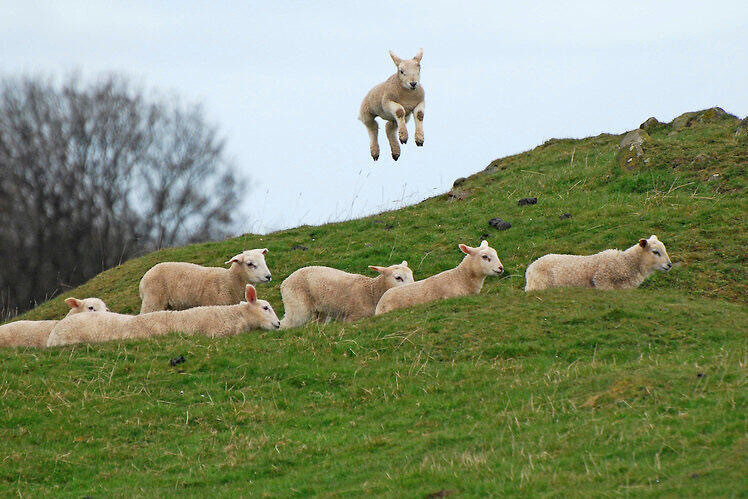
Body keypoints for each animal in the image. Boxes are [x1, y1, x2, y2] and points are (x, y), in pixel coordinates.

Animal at [138, 249, 272, 314]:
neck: (230, 281)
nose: (268, 276)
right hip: (153, 300)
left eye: (264, 260)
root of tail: (143, 280)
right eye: (250, 264)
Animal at [280, 260, 412, 330]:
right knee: (286, 324)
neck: (371, 293)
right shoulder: (351, 317)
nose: (412, 288)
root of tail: (284, 282)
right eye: (398, 278)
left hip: (321, 312)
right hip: (297, 306)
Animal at [524, 235, 676, 292]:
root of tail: (530, 267)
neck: (627, 263)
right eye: (655, 252)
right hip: (539, 286)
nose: (669, 265)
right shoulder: (603, 282)